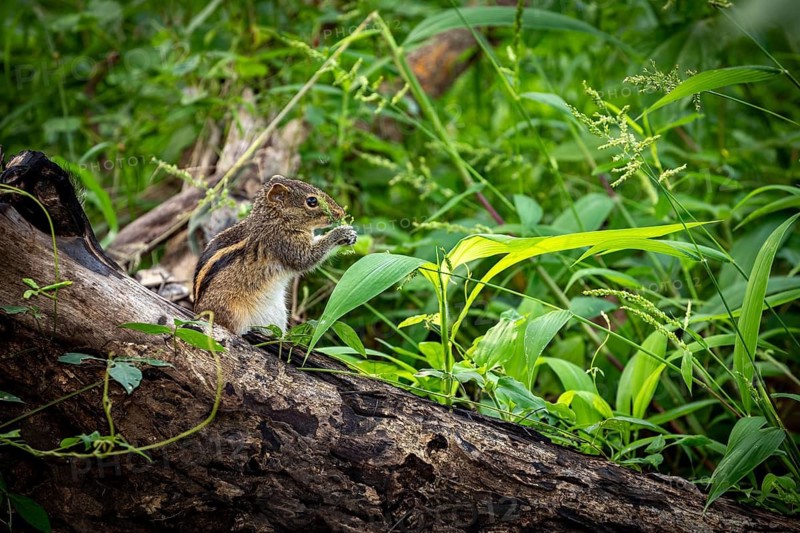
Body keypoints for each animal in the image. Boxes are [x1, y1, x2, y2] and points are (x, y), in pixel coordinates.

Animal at [193, 175, 356, 334]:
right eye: (312, 201)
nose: (341, 212)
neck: (275, 219)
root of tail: (197, 311)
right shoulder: (287, 245)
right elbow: (308, 258)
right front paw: (341, 233)